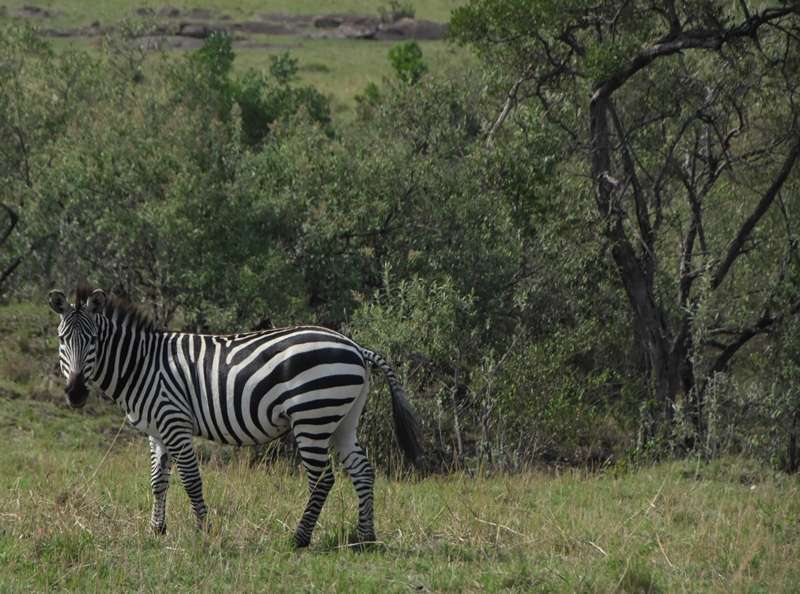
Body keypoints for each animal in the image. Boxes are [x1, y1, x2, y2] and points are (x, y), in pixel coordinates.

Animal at [48, 284, 424, 544]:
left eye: (93, 340)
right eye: (63, 339)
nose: (76, 393)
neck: (141, 365)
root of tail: (356, 347)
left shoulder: (175, 422)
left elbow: (191, 479)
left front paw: (204, 530)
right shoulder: (157, 431)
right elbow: (158, 481)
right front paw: (156, 529)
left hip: (312, 416)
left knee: (323, 479)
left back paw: (299, 538)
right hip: (343, 419)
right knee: (362, 470)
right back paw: (365, 537)